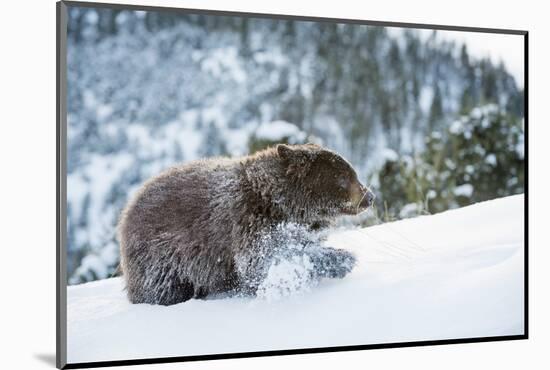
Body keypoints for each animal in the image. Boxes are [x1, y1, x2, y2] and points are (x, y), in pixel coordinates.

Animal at [116, 143, 376, 304]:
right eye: (344, 177)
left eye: (352, 173)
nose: (370, 196)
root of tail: (126, 212)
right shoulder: (249, 220)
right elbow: (261, 262)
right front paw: (342, 259)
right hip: (161, 258)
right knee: (161, 288)